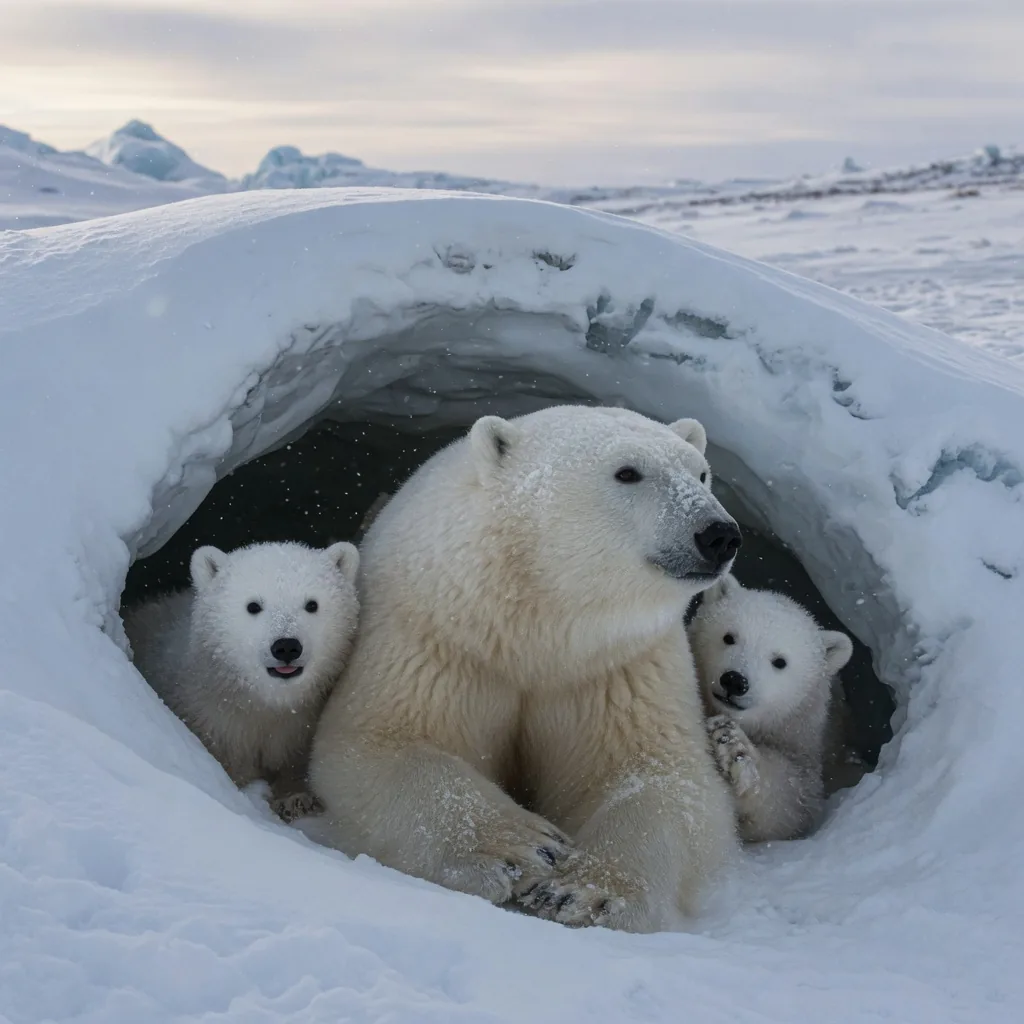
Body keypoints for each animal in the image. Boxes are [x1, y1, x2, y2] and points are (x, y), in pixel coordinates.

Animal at [123, 540, 360, 821]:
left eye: (312, 604)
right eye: (253, 605)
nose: (286, 646)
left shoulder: (299, 727)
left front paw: (295, 798)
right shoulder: (213, 722)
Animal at [309, 404, 742, 932]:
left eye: (701, 473)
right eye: (627, 472)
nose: (718, 534)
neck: (535, 631)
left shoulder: (618, 667)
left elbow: (660, 777)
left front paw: (586, 893)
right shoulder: (434, 638)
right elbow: (382, 742)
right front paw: (522, 848)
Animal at [687, 574, 854, 843]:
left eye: (780, 661)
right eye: (729, 637)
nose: (734, 681)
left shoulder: (801, 741)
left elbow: (794, 798)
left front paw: (733, 747)